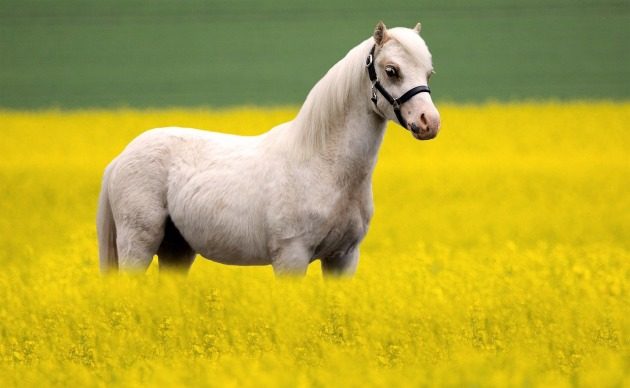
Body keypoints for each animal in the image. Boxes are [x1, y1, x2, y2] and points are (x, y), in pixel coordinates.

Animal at [100, 22, 444, 276]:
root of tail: (121, 158)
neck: (324, 166)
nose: (429, 123)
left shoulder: (344, 258)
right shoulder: (291, 257)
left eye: (428, 72)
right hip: (138, 246)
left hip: (177, 251)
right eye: (391, 70)